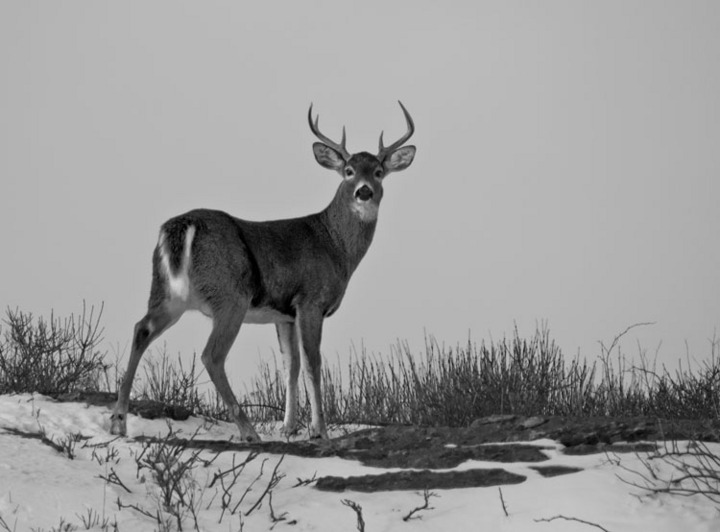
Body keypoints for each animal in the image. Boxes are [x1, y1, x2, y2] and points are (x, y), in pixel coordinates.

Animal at [110, 102, 416, 442]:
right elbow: (312, 363)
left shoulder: (285, 314)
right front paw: (319, 431)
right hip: (230, 296)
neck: (334, 246)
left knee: (141, 329)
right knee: (212, 355)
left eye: (378, 172)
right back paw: (248, 431)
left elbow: (289, 366)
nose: (364, 192)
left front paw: (289, 427)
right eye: (349, 171)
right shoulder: (310, 301)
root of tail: (180, 226)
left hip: (166, 292)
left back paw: (118, 421)